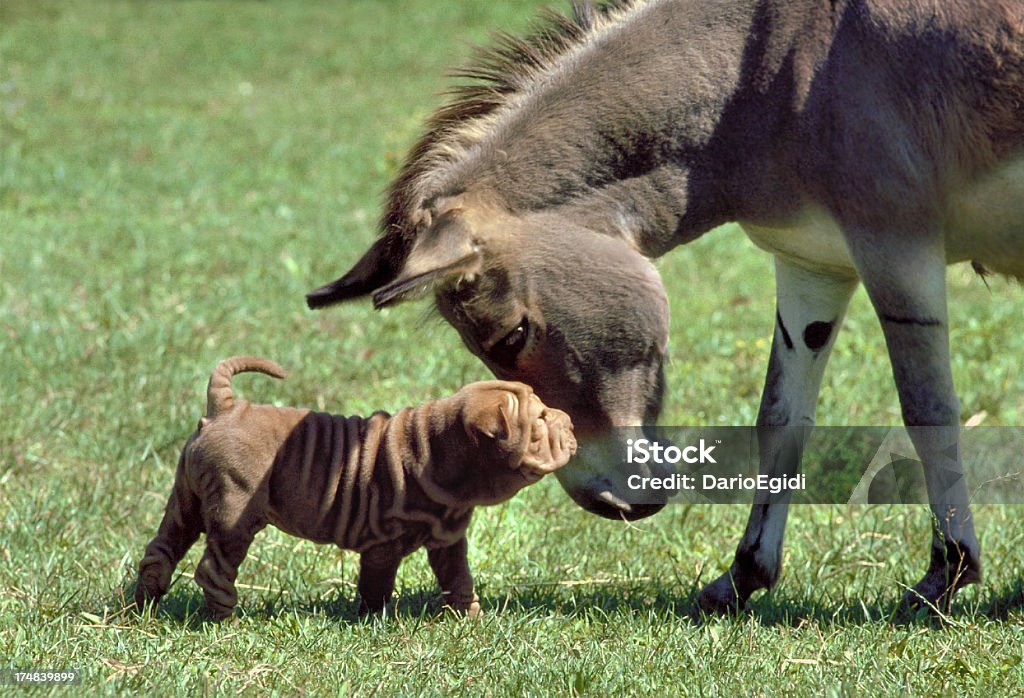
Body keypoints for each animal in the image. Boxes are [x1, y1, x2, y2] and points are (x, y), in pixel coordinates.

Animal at [134, 356, 577, 618]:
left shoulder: (447, 538)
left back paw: (143, 605)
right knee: (214, 567)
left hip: (187, 498)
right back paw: (223, 619)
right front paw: (373, 620)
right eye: (539, 421)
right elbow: (377, 585)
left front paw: (469, 617)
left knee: (160, 549)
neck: (437, 450)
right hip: (233, 511)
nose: (571, 421)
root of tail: (228, 408)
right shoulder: (382, 545)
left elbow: (458, 578)